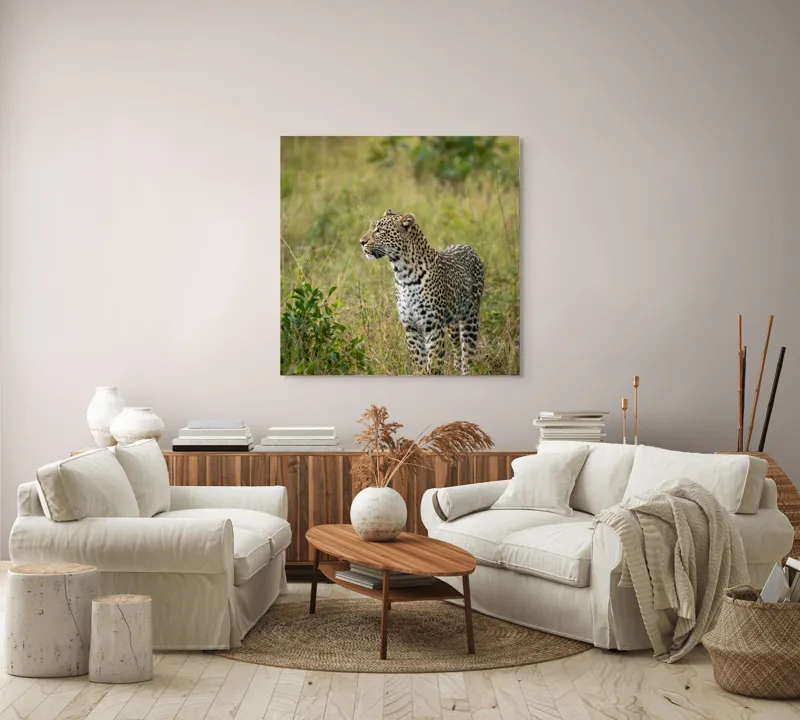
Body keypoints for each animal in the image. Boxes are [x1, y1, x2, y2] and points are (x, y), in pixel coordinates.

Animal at [360, 209, 484, 375]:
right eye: (371, 228)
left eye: (379, 230)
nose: (361, 242)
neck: (403, 274)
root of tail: (468, 247)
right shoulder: (410, 326)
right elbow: (418, 361)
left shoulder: (433, 326)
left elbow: (435, 362)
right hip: (452, 322)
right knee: (457, 347)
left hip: (470, 316)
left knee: (468, 352)